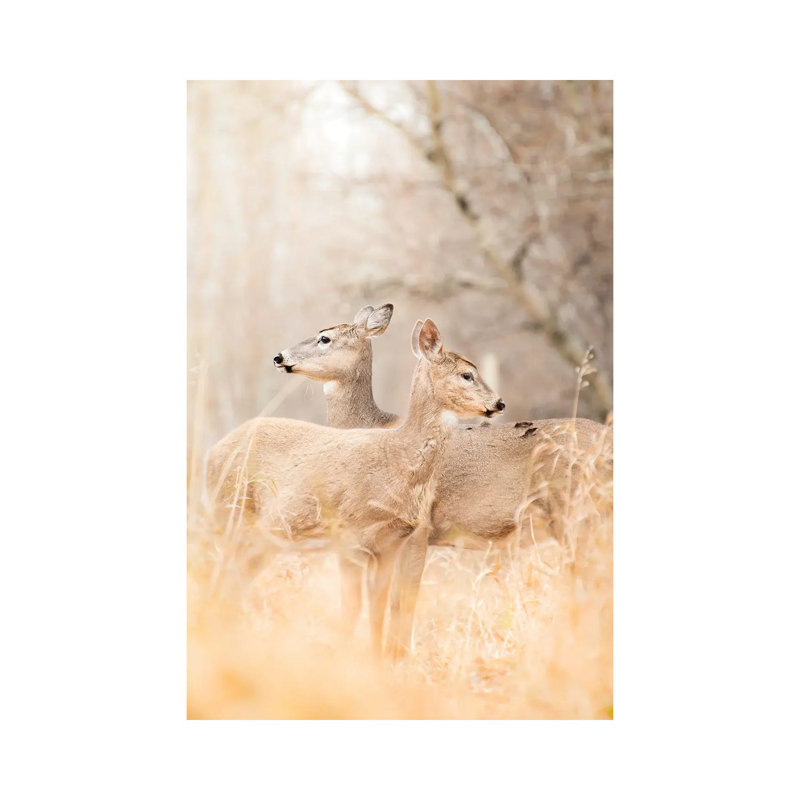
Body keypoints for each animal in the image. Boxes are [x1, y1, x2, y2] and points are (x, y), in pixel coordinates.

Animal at [206, 318, 504, 661]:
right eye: (467, 374)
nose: (499, 403)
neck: (396, 456)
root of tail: (210, 454)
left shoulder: (390, 544)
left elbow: (379, 607)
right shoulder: (349, 536)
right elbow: (354, 607)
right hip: (231, 516)